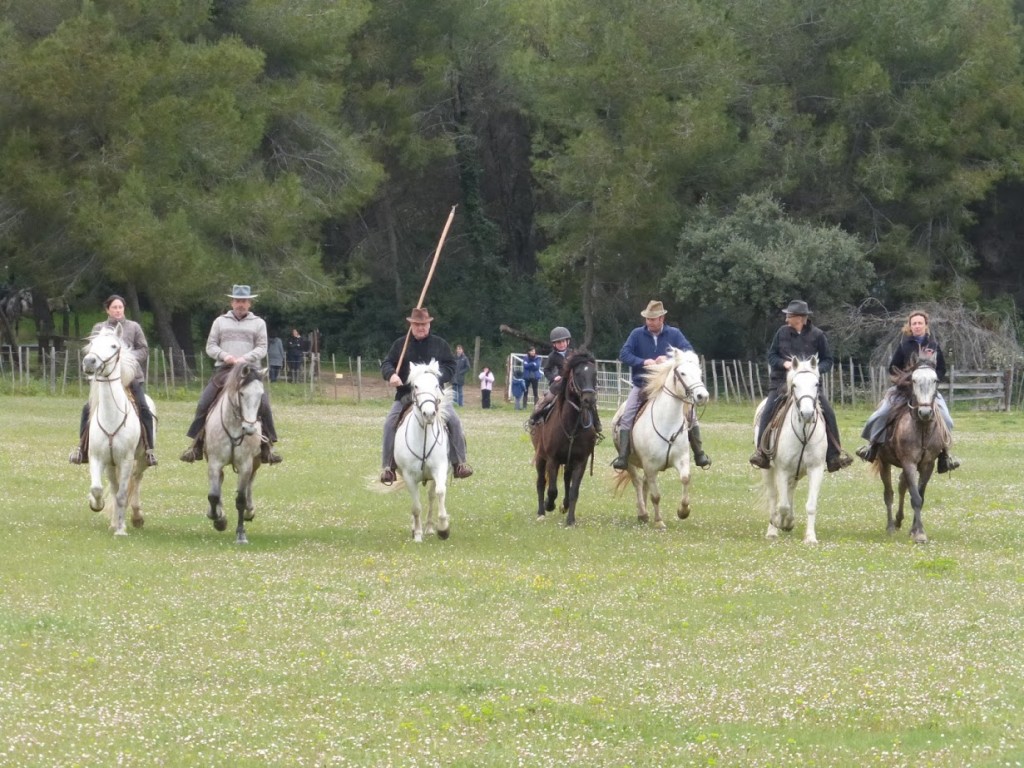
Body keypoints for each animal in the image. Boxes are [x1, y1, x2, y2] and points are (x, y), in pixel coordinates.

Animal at [202, 364, 264, 544]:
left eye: (261, 394)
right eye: (242, 393)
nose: (249, 429)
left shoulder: (245, 465)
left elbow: (241, 499)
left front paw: (241, 534)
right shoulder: (214, 463)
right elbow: (213, 495)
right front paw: (219, 519)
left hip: (255, 462)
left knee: (250, 483)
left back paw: (250, 510)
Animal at [391, 364, 452, 544]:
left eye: (436, 385)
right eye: (416, 386)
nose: (429, 414)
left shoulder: (440, 469)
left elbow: (440, 492)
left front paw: (443, 529)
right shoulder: (409, 476)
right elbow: (416, 506)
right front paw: (417, 534)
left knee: (432, 496)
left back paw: (431, 527)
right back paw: (415, 528)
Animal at [536, 350, 598, 528]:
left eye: (594, 374)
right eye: (577, 373)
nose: (589, 400)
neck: (572, 425)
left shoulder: (581, 461)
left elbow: (573, 491)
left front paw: (570, 520)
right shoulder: (552, 459)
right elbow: (552, 490)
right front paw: (549, 504)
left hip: (568, 462)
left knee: (566, 480)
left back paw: (564, 505)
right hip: (540, 457)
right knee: (541, 482)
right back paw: (541, 512)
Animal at [753, 356, 831, 544]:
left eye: (816, 384)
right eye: (794, 385)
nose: (807, 414)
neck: (803, 433)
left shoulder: (815, 469)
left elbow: (810, 505)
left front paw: (810, 537)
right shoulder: (782, 470)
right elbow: (782, 505)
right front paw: (780, 522)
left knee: (789, 491)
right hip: (768, 470)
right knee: (774, 497)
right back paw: (772, 530)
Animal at [872, 364, 950, 544]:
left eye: (935, 380)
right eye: (913, 380)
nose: (925, 413)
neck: (922, 429)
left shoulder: (927, 465)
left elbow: (920, 496)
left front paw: (915, 530)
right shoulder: (909, 463)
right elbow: (915, 497)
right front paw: (919, 533)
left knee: (902, 486)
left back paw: (898, 520)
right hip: (884, 463)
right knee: (889, 494)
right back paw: (891, 527)